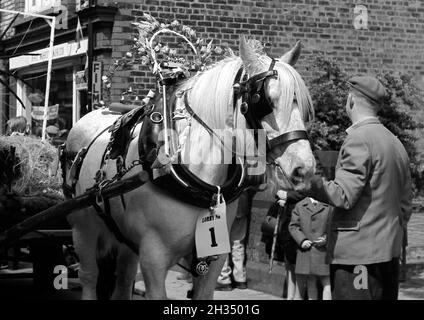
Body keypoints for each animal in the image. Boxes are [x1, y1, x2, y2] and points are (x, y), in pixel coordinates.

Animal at [63, 38, 314, 300]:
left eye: (302, 104)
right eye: (264, 101)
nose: (304, 169)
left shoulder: (213, 257)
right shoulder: (153, 256)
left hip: (125, 239)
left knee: (123, 279)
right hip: (84, 228)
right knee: (89, 276)